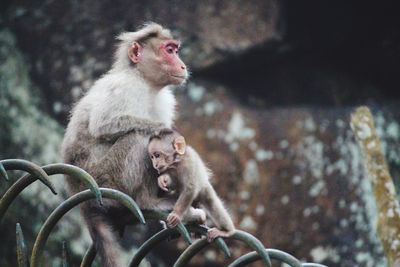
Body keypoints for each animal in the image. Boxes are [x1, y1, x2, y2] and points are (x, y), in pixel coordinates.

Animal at [61, 23, 191, 267]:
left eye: (176, 50)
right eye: (169, 50)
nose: (182, 65)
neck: (146, 82)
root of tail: (81, 196)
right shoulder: (125, 87)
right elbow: (103, 125)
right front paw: (162, 129)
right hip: (107, 178)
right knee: (140, 137)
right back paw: (148, 202)